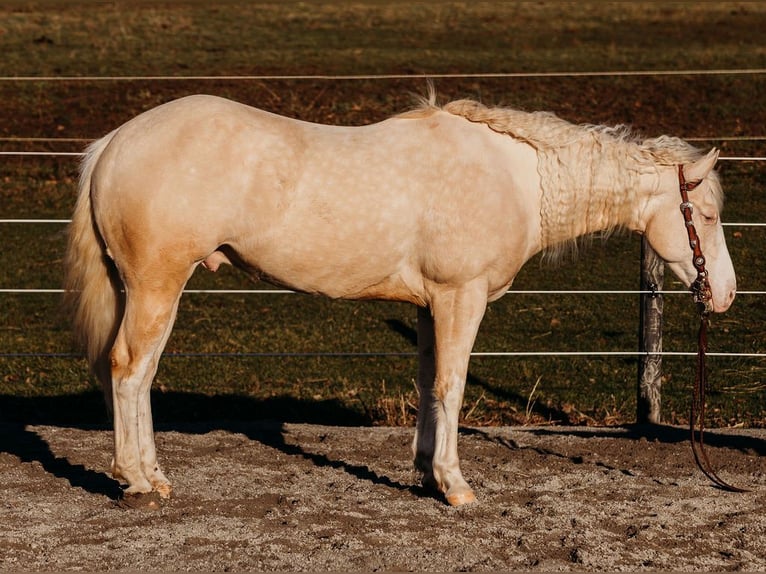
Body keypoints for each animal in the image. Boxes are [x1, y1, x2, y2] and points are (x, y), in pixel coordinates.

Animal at [63, 92, 736, 506]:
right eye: (705, 214)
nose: (724, 294)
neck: (515, 177)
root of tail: (115, 142)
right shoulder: (462, 299)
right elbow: (452, 387)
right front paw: (455, 485)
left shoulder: (429, 305)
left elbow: (428, 386)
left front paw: (424, 470)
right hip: (157, 286)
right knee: (129, 370)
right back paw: (135, 480)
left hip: (145, 289)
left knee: (139, 374)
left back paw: (153, 474)